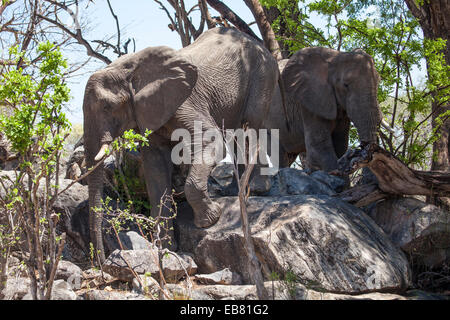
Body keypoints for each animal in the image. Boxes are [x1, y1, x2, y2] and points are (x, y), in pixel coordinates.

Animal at [80, 27, 278, 262]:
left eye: (107, 107)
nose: (101, 261)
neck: (128, 69)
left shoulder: (185, 101)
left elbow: (211, 139)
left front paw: (211, 219)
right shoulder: (149, 112)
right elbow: (155, 167)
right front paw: (166, 248)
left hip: (262, 73)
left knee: (252, 126)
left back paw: (256, 188)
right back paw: (235, 190)